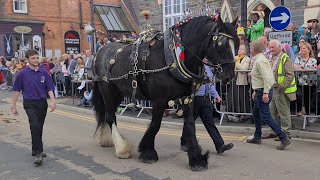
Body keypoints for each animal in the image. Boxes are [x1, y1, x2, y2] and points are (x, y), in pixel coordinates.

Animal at [91, 14, 239, 171]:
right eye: (221, 44)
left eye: (236, 42)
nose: (229, 76)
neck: (174, 56)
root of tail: (99, 51)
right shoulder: (159, 100)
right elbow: (156, 124)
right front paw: (148, 152)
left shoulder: (187, 98)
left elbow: (190, 125)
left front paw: (197, 159)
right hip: (107, 90)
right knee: (110, 116)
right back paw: (121, 148)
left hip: (119, 92)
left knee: (109, 114)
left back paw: (108, 140)